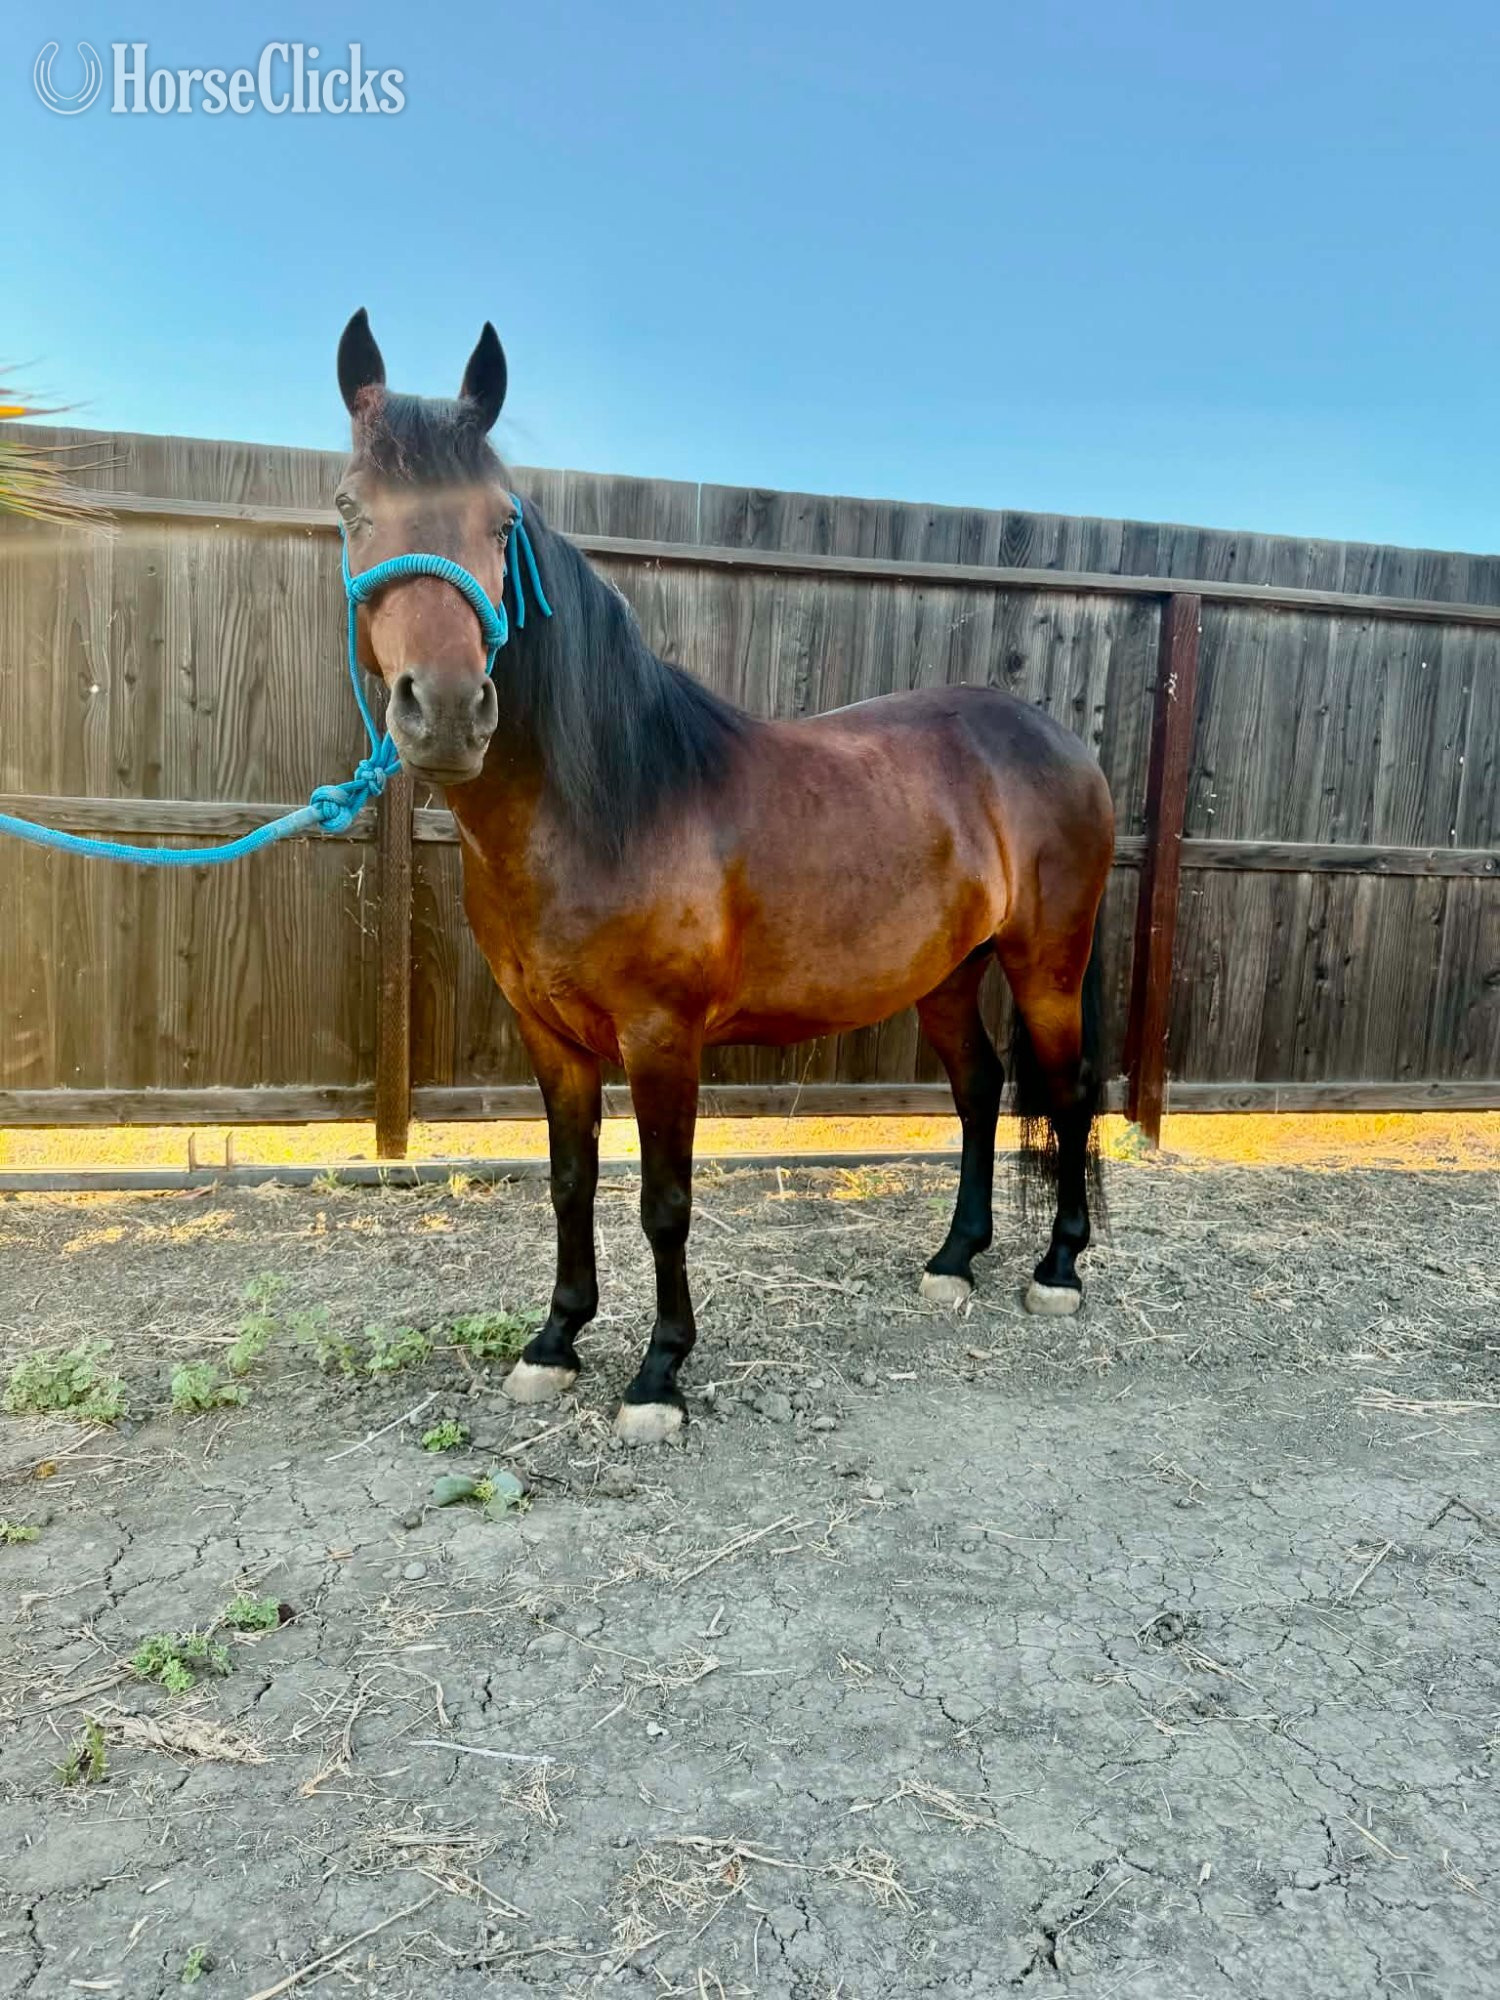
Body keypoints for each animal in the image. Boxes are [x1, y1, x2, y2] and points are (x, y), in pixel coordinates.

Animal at [334, 310, 1115, 1443]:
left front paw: (659, 1372)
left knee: (1067, 1089)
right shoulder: (550, 1037)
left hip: (1046, 962)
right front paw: (554, 1341)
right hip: (948, 973)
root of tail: (1059, 741)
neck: (608, 800)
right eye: (351, 507)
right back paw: (953, 1259)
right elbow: (569, 1184)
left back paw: (1057, 1267)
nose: (442, 710)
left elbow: (665, 1201)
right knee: (979, 1088)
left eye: (500, 519)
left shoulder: (663, 1039)